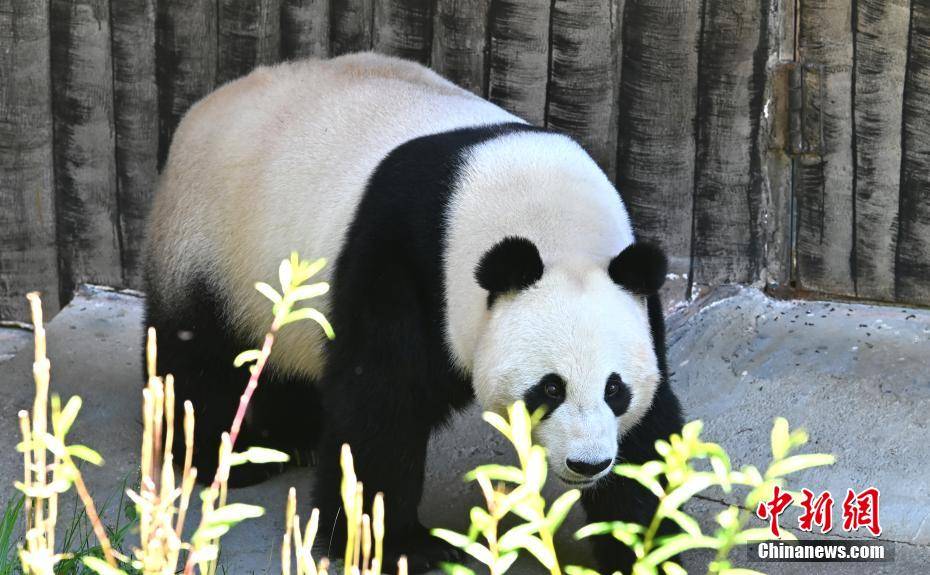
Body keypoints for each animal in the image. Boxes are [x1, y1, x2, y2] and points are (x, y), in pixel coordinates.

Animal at [145, 53, 680, 572]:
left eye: (615, 390)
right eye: (550, 388)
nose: (589, 464)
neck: (546, 213)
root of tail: (204, 106)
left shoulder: (633, 288)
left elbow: (652, 429)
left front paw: (645, 545)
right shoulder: (404, 255)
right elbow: (381, 399)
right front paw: (398, 544)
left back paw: (296, 439)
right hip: (212, 244)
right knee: (198, 356)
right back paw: (227, 459)